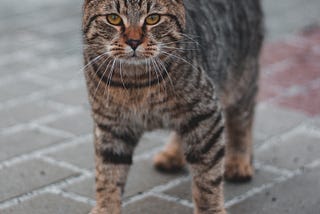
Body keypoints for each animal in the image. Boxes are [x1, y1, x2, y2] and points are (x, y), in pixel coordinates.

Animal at [82, 0, 262, 214]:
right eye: (113, 18)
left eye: (153, 18)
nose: (133, 41)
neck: (135, 82)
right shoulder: (111, 126)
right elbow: (108, 174)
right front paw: (105, 208)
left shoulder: (205, 113)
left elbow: (207, 177)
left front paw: (210, 209)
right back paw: (173, 154)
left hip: (241, 77)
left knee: (243, 117)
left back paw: (238, 161)